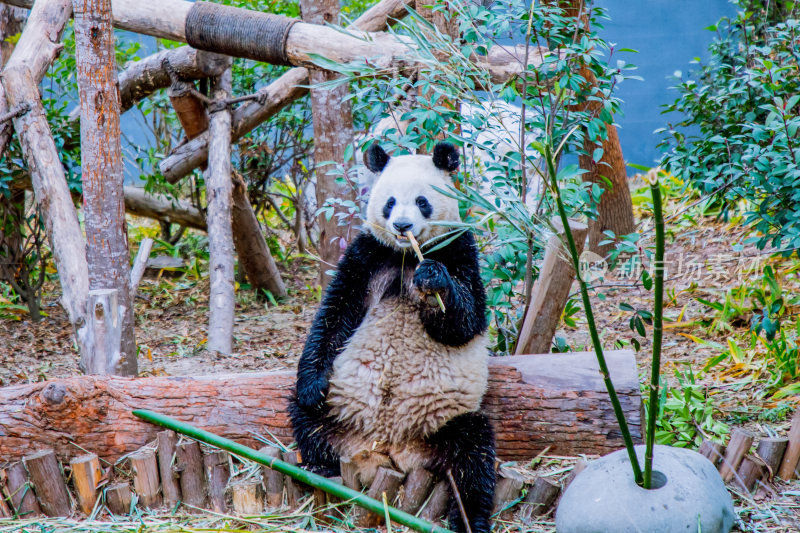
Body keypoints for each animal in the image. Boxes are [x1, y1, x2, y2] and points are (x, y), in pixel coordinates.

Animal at [290, 139, 496, 528]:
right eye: (389, 202)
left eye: (422, 201)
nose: (402, 225)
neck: (406, 256)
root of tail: (388, 449)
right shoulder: (369, 253)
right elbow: (334, 314)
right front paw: (311, 384)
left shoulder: (459, 248)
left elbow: (466, 322)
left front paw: (434, 280)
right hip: (339, 407)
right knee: (306, 419)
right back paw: (318, 468)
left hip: (443, 423)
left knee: (472, 456)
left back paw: (470, 519)